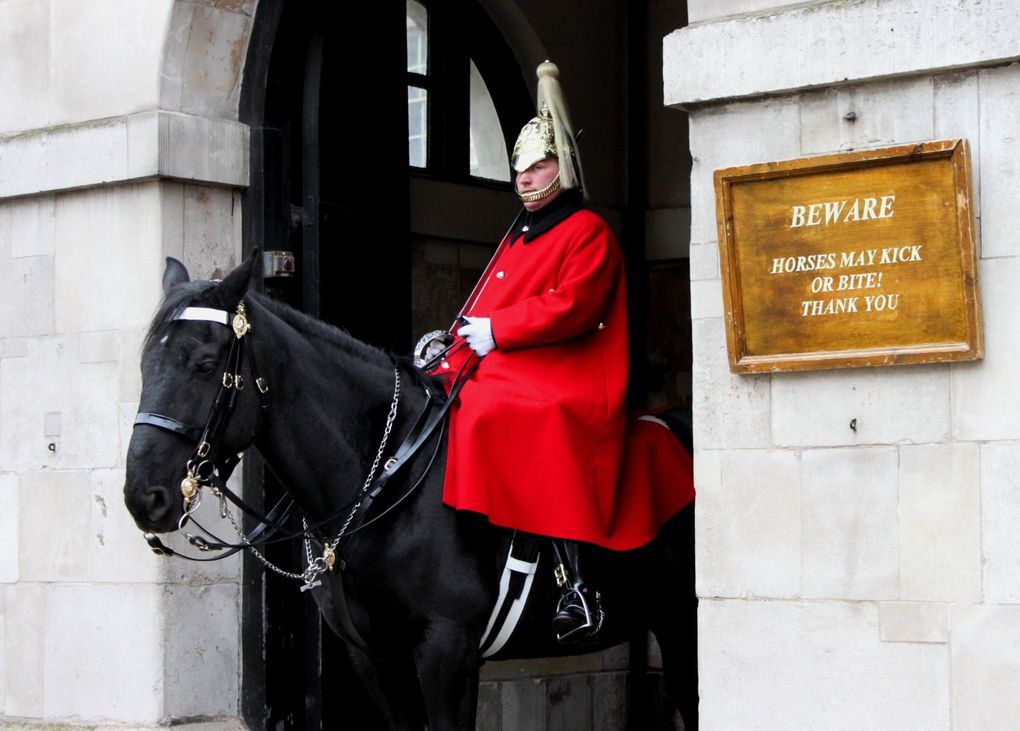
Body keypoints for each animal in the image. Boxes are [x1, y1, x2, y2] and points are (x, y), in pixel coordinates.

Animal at [117, 252, 693, 729]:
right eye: (144, 364)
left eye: (205, 365)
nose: (143, 496)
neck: (387, 480)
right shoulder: (375, 659)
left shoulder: (447, 652)